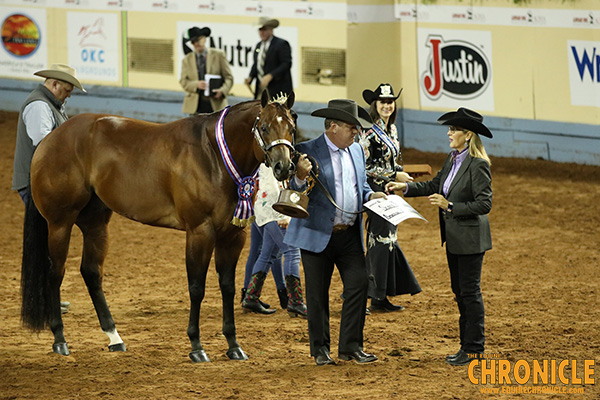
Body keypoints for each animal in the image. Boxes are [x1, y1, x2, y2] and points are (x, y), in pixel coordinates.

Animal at [21, 90, 298, 362]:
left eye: (292, 127)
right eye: (263, 127)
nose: (284, 167)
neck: (214, 156)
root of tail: (51, 138)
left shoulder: (232, 236)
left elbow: (227, 287)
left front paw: (233, 345)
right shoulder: (199, 232)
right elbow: (196, 288)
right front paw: (196, 347)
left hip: (95, 223)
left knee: (91, 272)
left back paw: (114, 338)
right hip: (59, 223)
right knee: (55, 273)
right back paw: (60, 340)